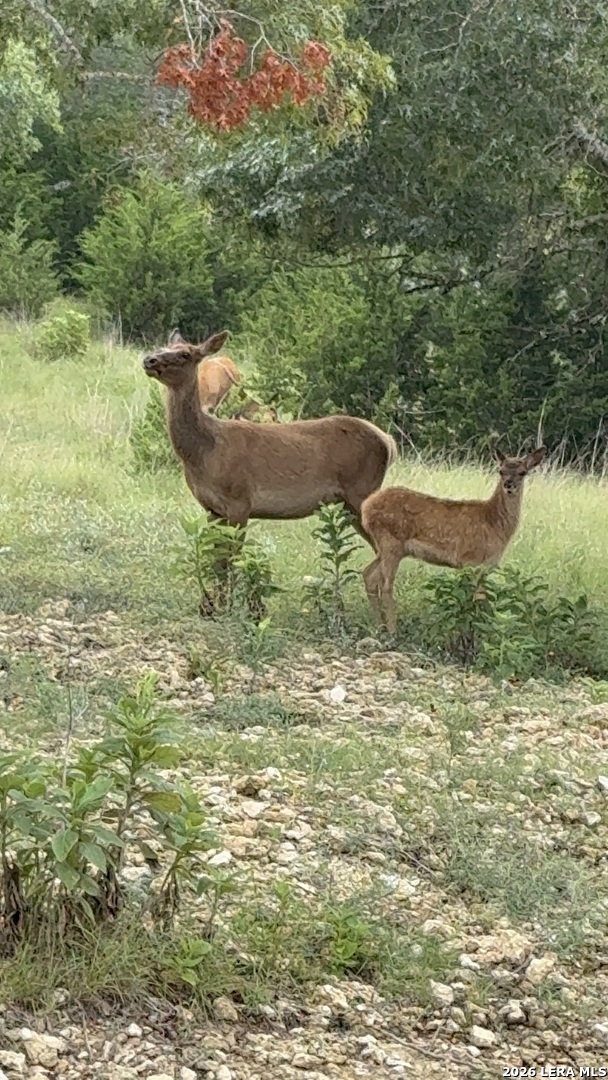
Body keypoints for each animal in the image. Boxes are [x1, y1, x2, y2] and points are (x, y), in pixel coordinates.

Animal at [142, 329, 398, 613]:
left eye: (185, 353)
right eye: (163, 347)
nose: (150, 360)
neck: (204, 452)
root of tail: (388, 441)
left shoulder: (239, 500)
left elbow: (232, 557)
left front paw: (231, 608)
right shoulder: (211, 508)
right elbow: (216, 559)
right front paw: (213, 607)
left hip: (361, 492)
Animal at [360, 445, 547, 633]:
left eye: (522, 472)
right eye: (500, 471)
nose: (509, 484)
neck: (493, 522)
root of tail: (366, 507)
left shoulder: (487, 566)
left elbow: (481, 598)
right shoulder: (470, 560)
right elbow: (475, 598)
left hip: (390, 547)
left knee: (369, 574)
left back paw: (380, 627)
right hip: (390, 541)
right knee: (385, 585)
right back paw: (392, 630)